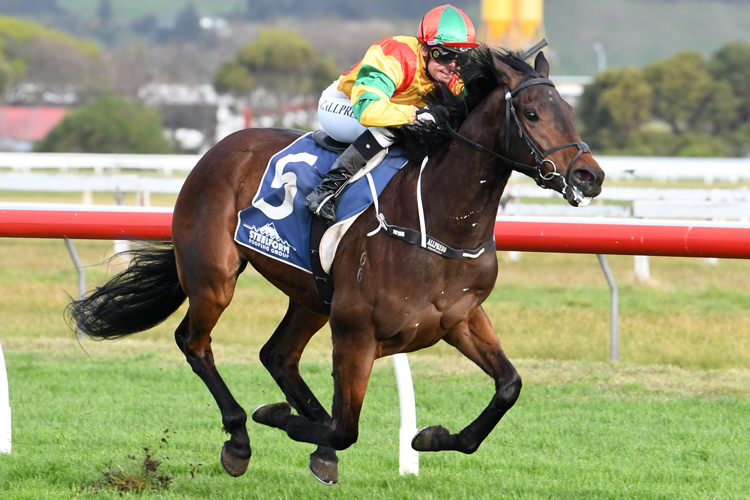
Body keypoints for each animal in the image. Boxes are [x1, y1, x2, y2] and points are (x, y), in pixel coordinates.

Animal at [67, 46, 608, 484]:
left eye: (570, 111)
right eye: (532, 113)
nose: (590, 175)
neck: (436, 222)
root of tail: (219, 148)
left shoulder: (459, 319)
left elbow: (508, 387)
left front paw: (429, 437)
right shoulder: (356, 333)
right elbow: (345, 427)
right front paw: (275, 418)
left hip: (313, 296)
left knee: (278, 355)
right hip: (215, 277)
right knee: (194, 343)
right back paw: (240, 438)